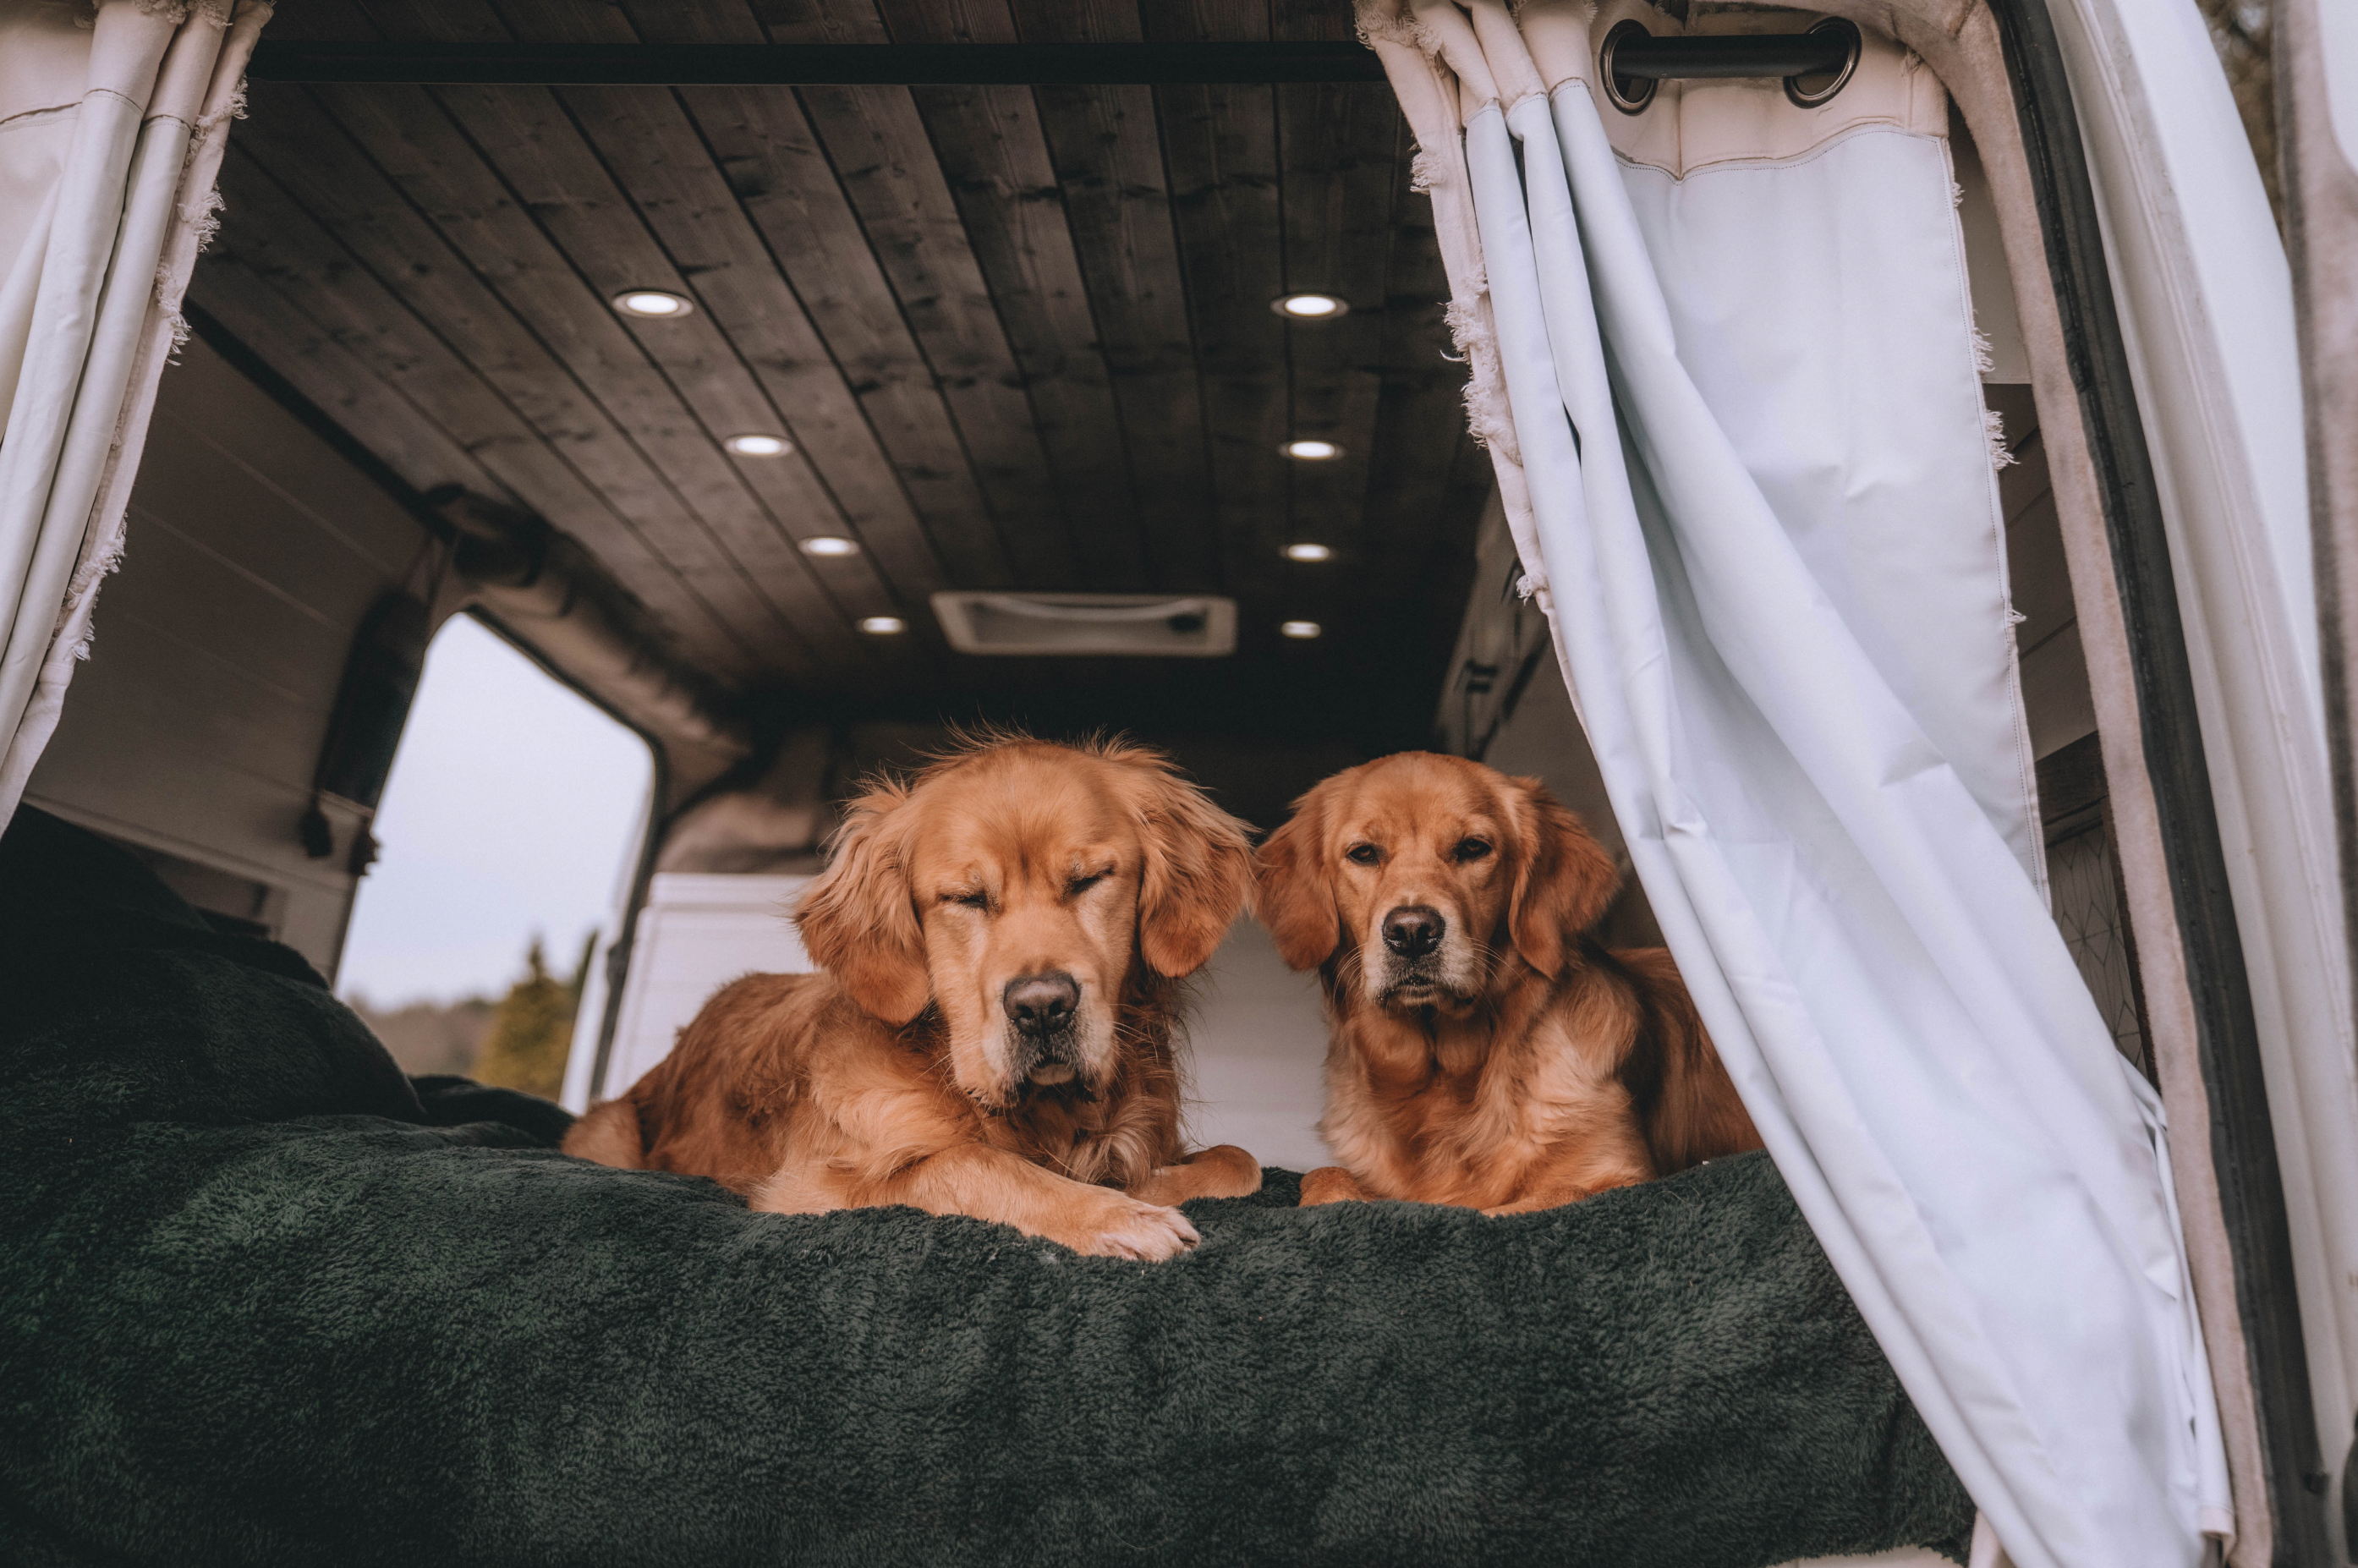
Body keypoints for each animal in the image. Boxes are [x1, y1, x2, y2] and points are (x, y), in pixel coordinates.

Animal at [566, 735, 1273, 1264]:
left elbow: (1240, 1162)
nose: (1043, 1007)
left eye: (1090, 880)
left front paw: (1140, 1185)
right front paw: (1117, 1214)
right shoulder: (809, 1187)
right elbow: (968, 1163)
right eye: (966, 898)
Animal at [1254, 754, 1754, 1216]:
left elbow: (1526, 1201)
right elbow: (1323, 1178)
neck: (1447, 1079)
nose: (1412, 932)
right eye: (1363, 853)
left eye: (1473, 848)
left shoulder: (1624, 1178)